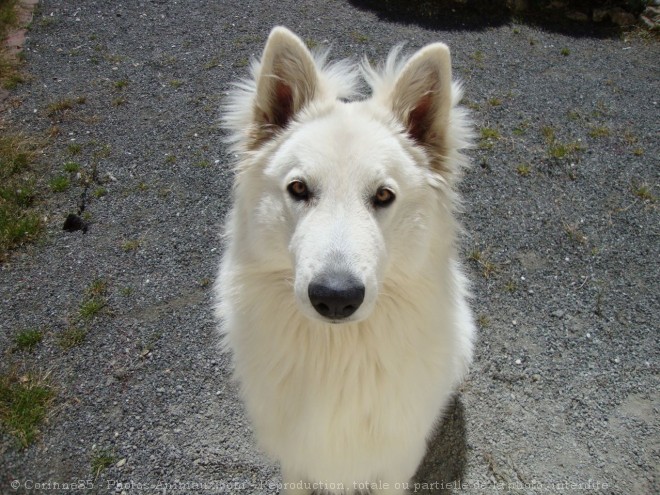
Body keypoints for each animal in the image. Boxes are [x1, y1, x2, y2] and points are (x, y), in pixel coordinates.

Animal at [215, 27, 474, 495]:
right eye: (299, 188)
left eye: (384, 195)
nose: (336, 298)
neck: (336, 355)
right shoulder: (295, 463)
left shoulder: (395, 465)